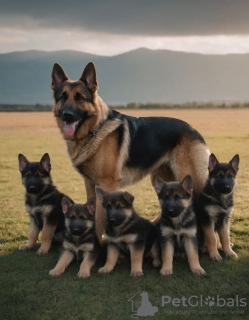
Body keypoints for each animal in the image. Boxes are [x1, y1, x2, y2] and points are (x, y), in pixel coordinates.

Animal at [50, 61, 210, 241]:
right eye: (62, 97)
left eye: (80, 98)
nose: (67, 115)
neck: (94, 130)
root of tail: (194, 130)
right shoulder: (90, 184)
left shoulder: (107, 185)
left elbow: (100, 219)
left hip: (191, 179)